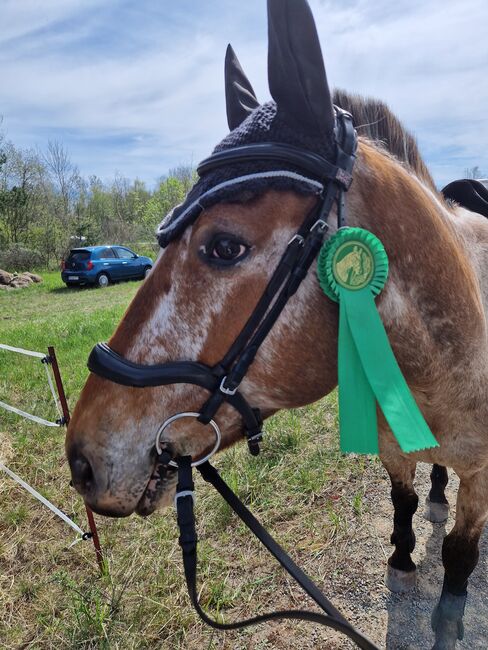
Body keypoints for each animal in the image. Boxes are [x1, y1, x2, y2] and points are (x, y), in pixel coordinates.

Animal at [65, 2, 488, 644]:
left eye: (224, 246)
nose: (81, 460)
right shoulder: (393, 450)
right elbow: (403, 502)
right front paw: (401, 558)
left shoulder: (484, 478)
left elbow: (462, 555)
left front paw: (447, 620)